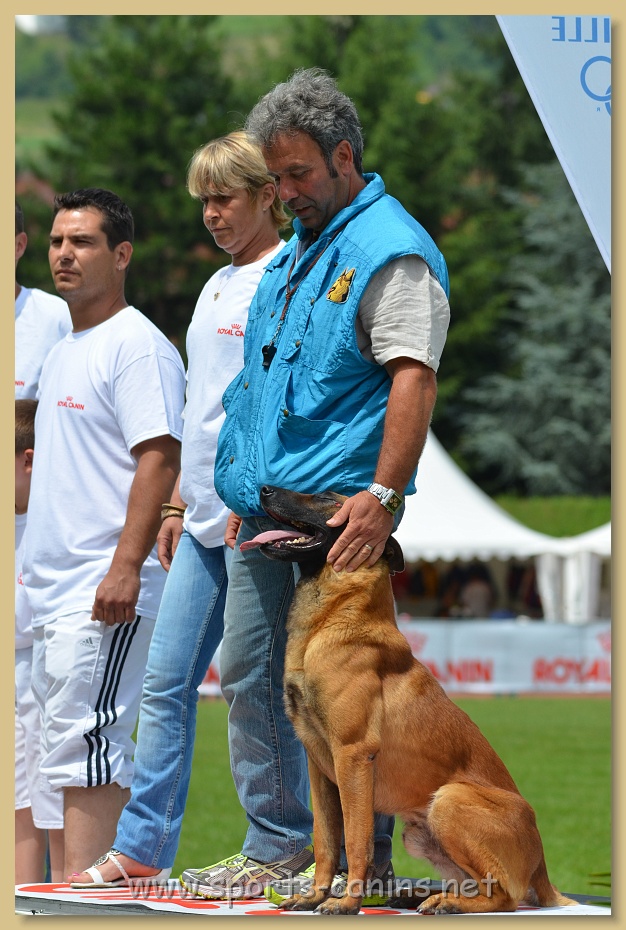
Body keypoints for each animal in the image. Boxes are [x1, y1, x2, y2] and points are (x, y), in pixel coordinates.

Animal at [241, 486, 576, 915]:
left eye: (327, 497)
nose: (264, 488)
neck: (334, 620)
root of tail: (542, 869)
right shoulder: (320, 767)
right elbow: (325, 840)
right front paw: (316, 895)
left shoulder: (352, 756)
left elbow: (357, 840)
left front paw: (346, 903)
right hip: (420, 832)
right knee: (473, 885)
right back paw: (419, 894)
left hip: (449, 800)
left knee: (505, 897)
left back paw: (445, 903)